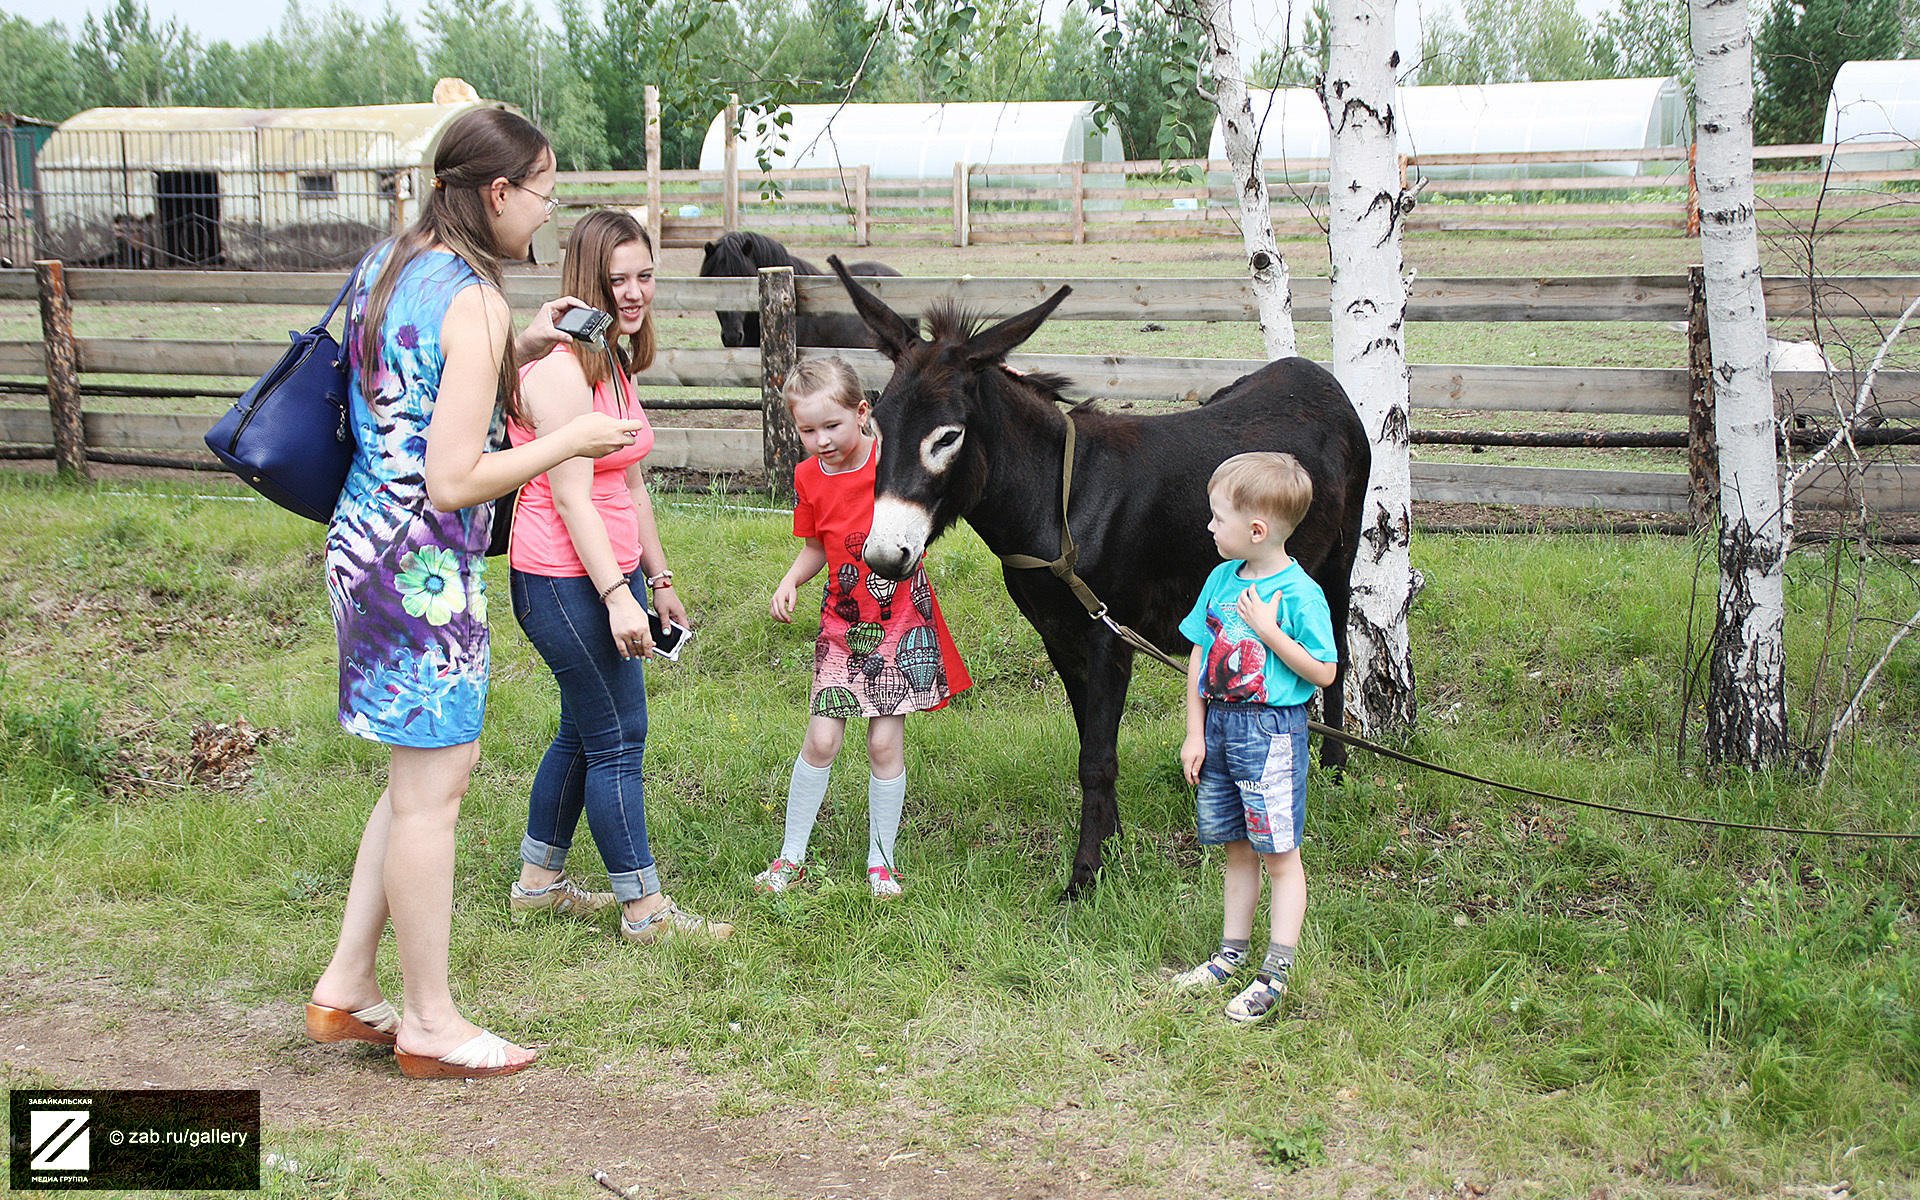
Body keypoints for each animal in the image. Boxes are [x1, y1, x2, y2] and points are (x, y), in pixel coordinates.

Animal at [825, 255, 1367, 898]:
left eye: (948, 437)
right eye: (876, 427)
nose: (885, 557)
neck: (1060, 505)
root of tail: (1313, 374)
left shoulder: (1110, 636)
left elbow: (1098, 757)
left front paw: (1085, 873)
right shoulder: (1060, 634)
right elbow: (1092, 740)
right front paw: (1111, 839)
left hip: (1339, 557)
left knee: (1336, 652)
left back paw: (1333, 769)